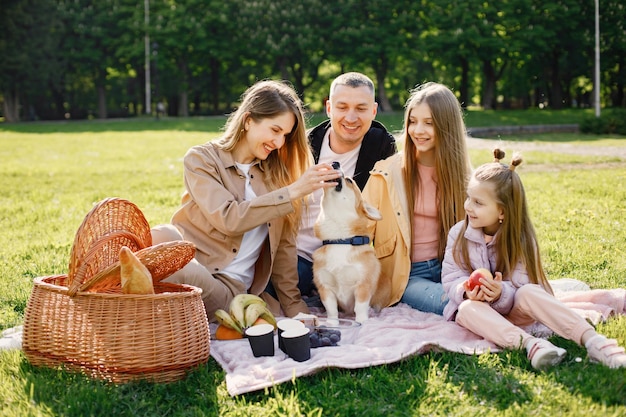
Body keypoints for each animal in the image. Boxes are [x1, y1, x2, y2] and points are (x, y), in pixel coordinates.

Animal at [310, 164, 386, 324]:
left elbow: (360, 307)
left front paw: (362, 322)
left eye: (350, 181)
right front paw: (332, 323)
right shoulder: (325, 288)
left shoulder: (363, 285)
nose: (335, 163)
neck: (340, 240)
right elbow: (331, 309)